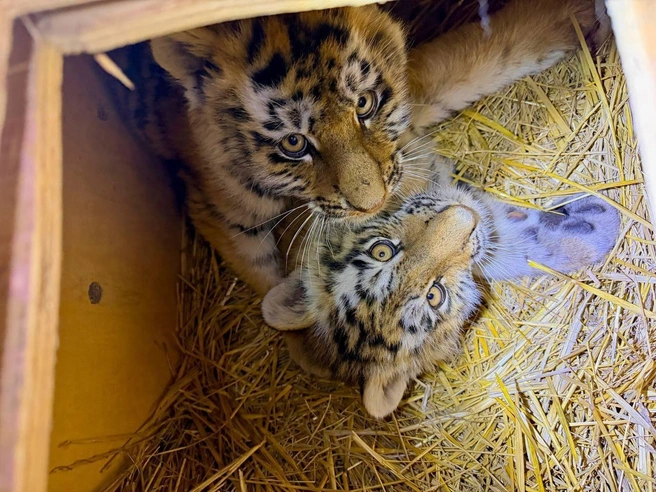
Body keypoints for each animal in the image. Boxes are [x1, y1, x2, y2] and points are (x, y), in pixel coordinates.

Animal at [109, 0, 605, 296]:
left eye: (364, 104)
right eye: (293, 143)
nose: (373, 202)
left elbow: (470, 59)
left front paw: (570, 15)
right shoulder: (222, 211)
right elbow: (265, 273)